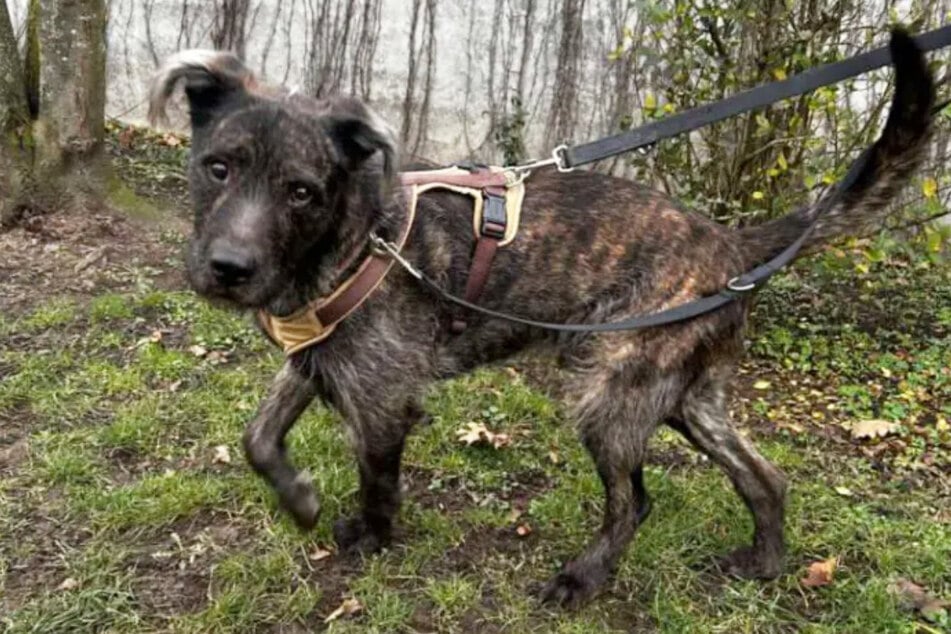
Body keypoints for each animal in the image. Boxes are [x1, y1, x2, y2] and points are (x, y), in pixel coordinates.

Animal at [151, 32, 936, 604]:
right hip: (685, 397)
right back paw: (767, 562)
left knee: (632, 504)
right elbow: (257, 439)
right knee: (763, 477)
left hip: (608, 398)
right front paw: (302, 501)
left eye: (302, 192)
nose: (227, 268)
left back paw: (581, 580)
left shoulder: (381, 401)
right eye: (218, 167)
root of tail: (729, 243)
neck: (358, 235)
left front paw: (371, 539)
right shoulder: (314, 362)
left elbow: (376, 479)